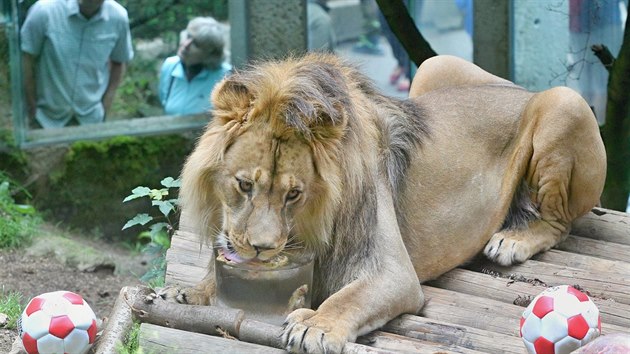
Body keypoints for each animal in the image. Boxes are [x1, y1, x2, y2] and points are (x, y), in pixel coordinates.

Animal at [165, 53, 608, 354]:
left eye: (294, 194)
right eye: (243, 185)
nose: (261, 249)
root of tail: (526, 90)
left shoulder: (393, 272)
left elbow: (348, 298)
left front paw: (317, 325)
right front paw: (191, 292)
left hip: (565, 103)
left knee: (559, 223)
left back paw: (513, 240)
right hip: (434, 64)